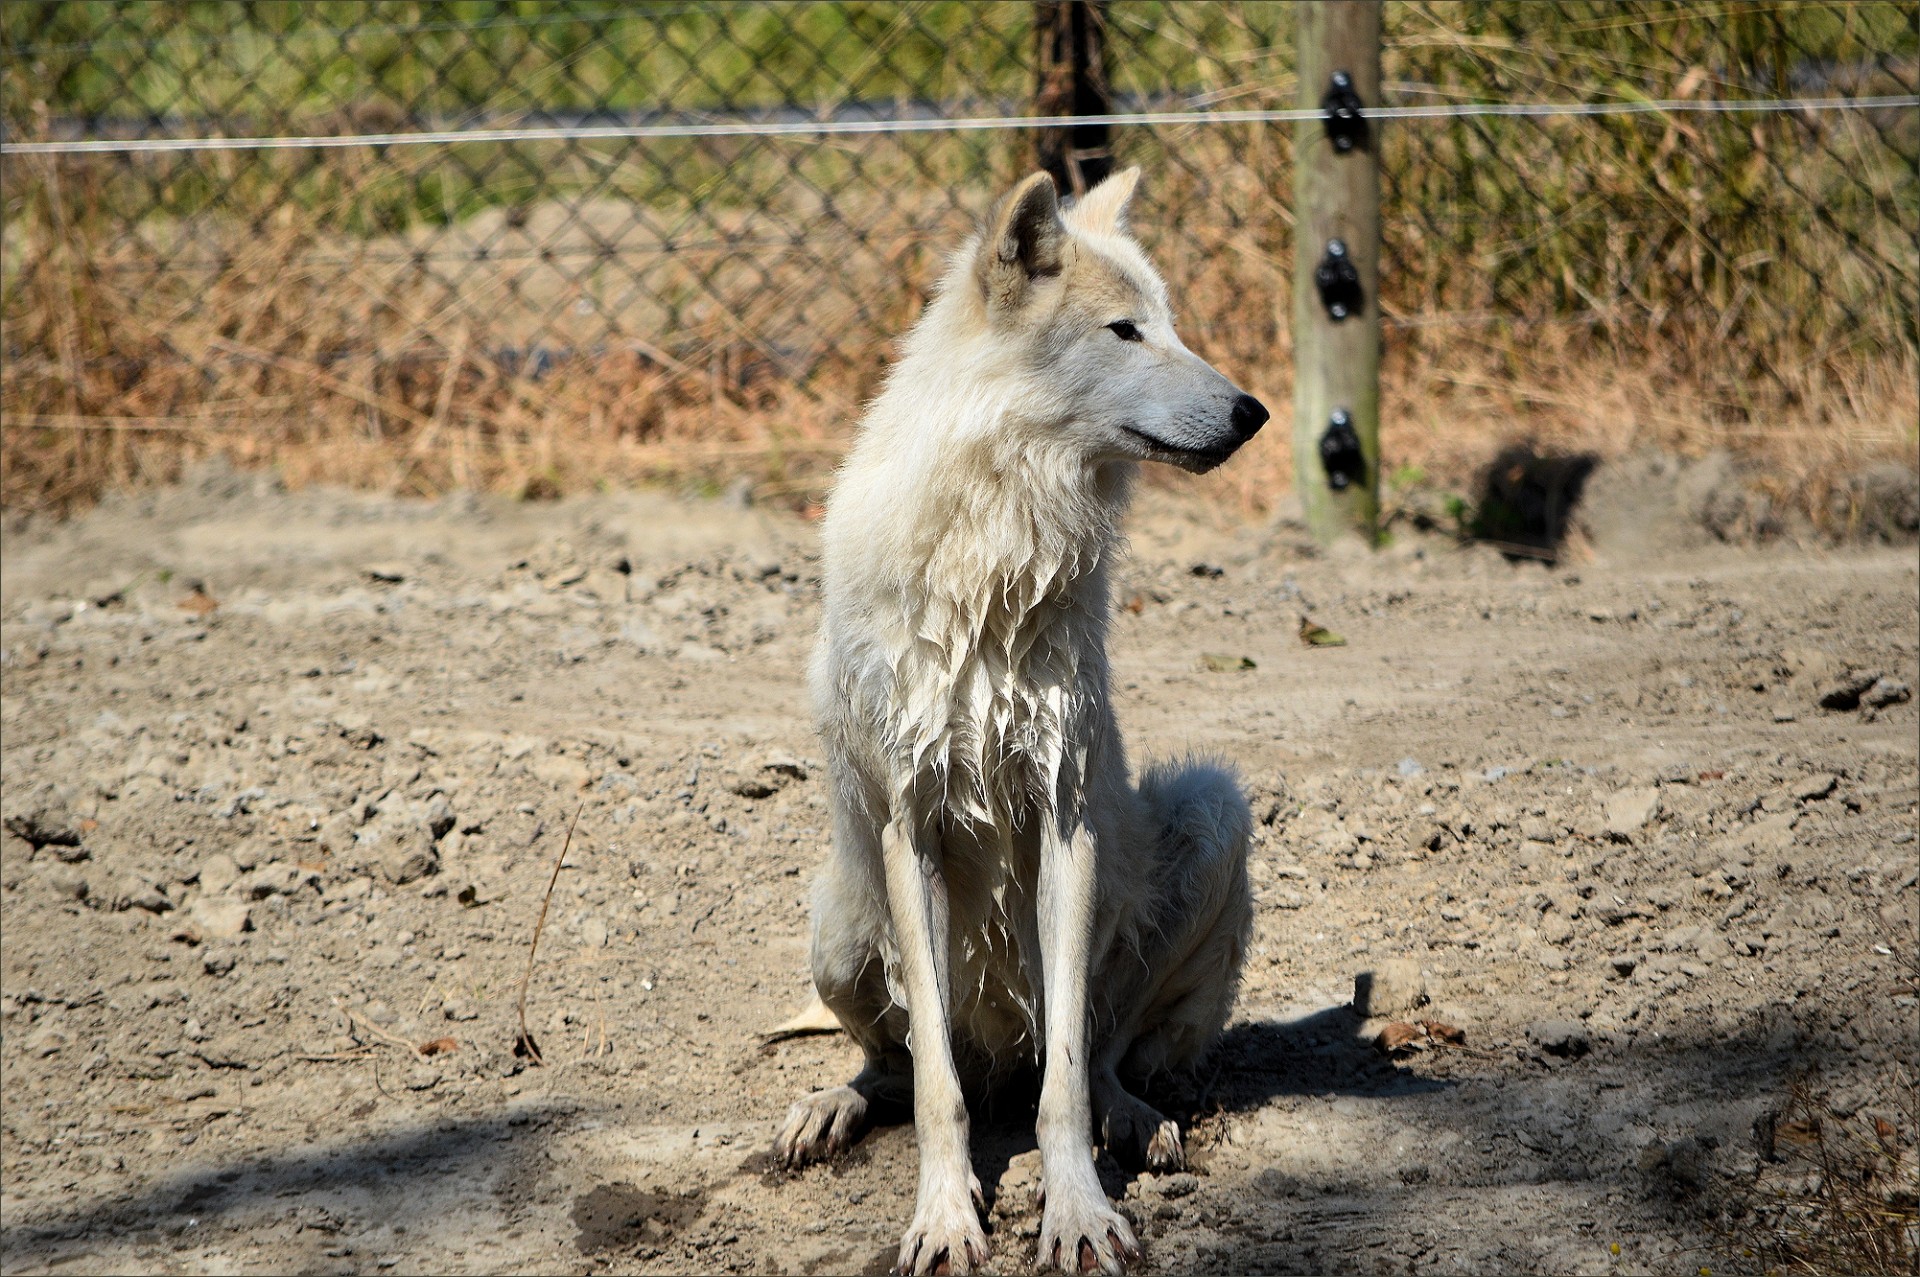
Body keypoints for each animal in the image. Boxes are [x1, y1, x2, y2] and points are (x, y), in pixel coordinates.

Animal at [771, 168, 1267, 1275]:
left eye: (1173, 324)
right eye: (1126, 331)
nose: (1255, 410)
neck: (1001, 536)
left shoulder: (1068, 816)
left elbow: (1067, 1077)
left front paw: (1077, 1208)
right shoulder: (911, 825)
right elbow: (936, 1092)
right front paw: (947, 1217)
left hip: (1210, 809)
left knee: (1106, 1049)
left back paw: (1140, 1120)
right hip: (837, 919)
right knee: (893, 1062)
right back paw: (827, 1108)